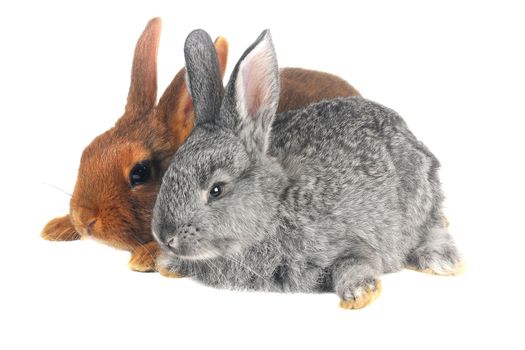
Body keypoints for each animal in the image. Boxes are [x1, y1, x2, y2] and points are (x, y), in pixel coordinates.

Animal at [151, 30, 462, 308]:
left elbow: (355, 262)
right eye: (168, 174)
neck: (274, 208)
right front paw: (168, 264)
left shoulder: (351, 241)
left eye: (216, 190)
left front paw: (359, 293)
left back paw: (443, 261)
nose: (165, 237)